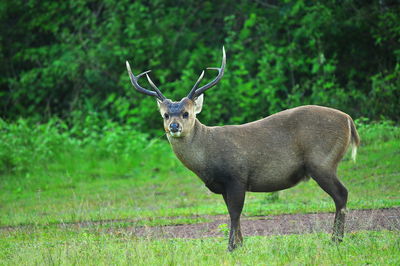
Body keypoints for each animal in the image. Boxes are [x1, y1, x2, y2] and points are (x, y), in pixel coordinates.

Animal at [125, 46, 360, 251]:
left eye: (186, 113)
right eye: (165, 115)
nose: (174, 126)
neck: (208, 157)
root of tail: (348, 120)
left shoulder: (237, 176)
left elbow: (235, 213)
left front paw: (231, 247)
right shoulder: (223, 185)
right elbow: (231, 212)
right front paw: (240, 244)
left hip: (322, 160)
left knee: (341, 194)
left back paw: (335, 240)